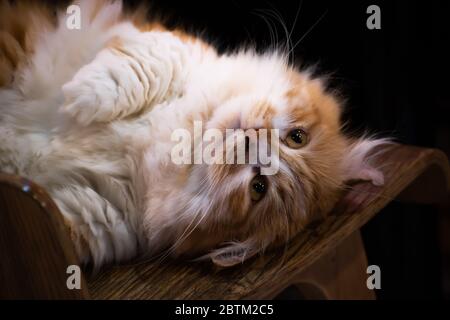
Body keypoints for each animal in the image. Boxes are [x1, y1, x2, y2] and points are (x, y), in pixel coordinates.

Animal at [0, 0, 386, 268]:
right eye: (297, 138)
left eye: (258, 188)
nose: (251, 140)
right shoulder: (168, 46)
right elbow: (139, 69)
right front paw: (79, 97)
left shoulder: (99, 215)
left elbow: (62, 223)